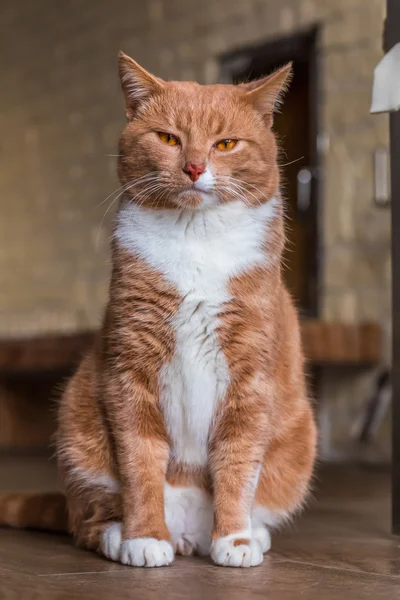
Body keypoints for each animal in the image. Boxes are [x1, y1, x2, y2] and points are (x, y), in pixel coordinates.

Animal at [0, 50, 318, 568]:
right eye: (169, 138)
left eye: (226, 143)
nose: (194, 167)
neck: (195, 240)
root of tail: (189, 532)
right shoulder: (131, 369)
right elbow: (140, 461)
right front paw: (144, 537)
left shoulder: (251, 375)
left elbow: (238, 460)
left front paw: (234, 540)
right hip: (78, 416)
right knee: (85, 520)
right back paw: (123, 535)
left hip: (299, 440)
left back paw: (247, 534)